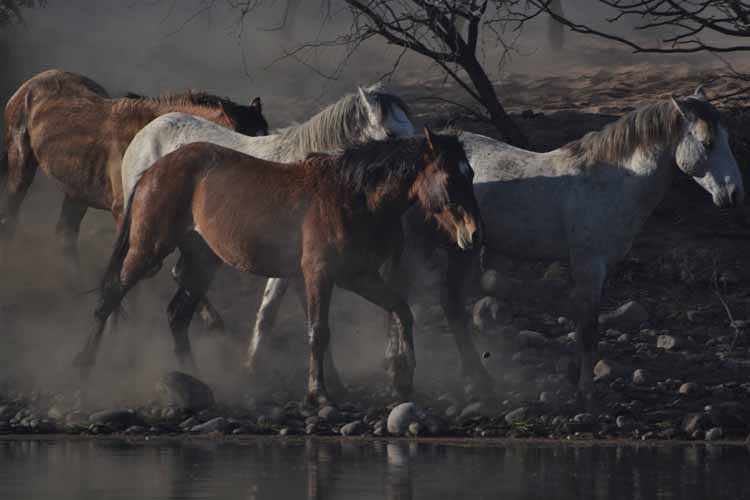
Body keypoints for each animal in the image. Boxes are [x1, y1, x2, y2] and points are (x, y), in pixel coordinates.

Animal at [0, 69, 270, 282]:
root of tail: (30, 84)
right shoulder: (125, 212)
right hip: (21, 167)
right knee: (11, 216)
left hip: (77, 192)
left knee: (65, 235)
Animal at [81, 129, 482, 406]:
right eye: (450, 178)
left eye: (472, 174)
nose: (473, 234)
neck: (351, 196)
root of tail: (152, 170)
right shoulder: (319, 274)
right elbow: (318, 332)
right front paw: (318, 394)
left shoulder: (357, 276)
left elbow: (401, 308)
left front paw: (404, 379)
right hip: (148, 250)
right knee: (108, 298)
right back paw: (82, 367)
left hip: (202, 262)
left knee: (177, 314)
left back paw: (192, 377)